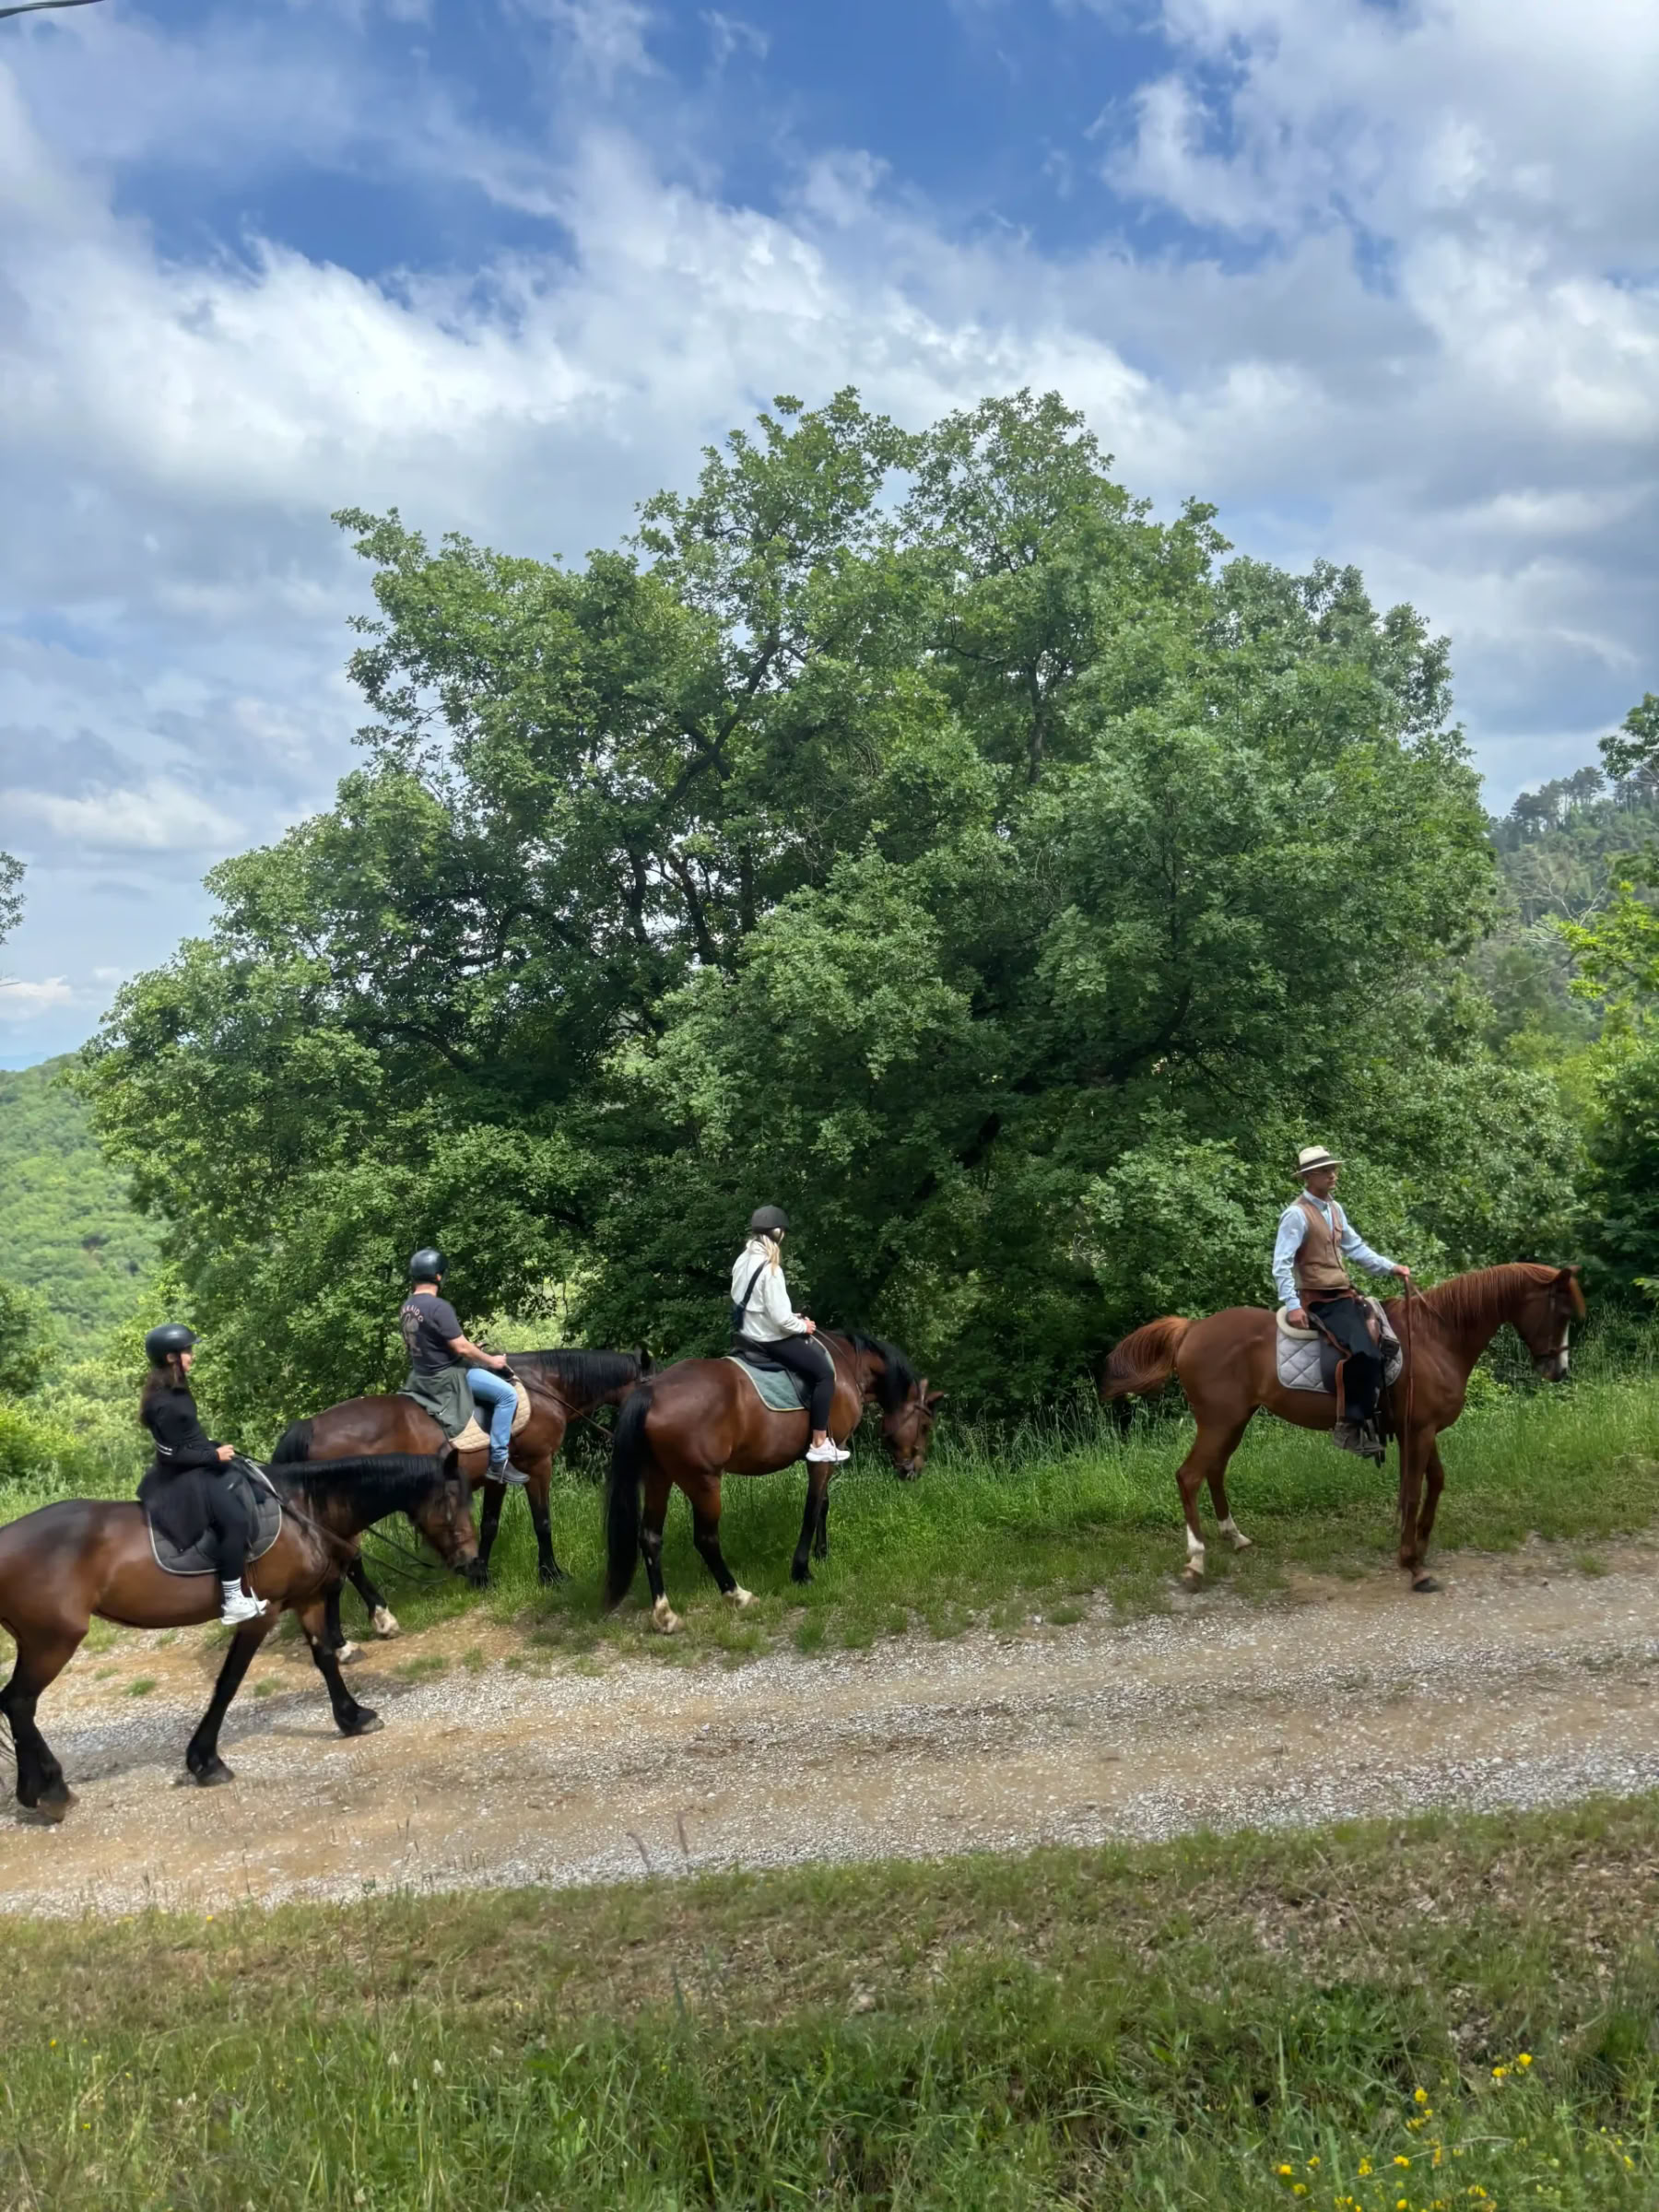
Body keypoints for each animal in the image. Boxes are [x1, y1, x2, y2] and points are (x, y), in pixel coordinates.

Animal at [0, 1451, 480, 1820]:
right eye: (450, 1500)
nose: (470, 1561)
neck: (302, 1508)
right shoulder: (261, 1617)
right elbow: (229, 1683)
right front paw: (205, 1761)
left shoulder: (306, 1601)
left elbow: (325, 1657)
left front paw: (353, 1717)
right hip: (52, 1642)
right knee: (20, 1702)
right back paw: (52, 1790)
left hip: (38, 1642)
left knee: (15, 1703)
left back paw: (34, 1789)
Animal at [271, 1350, 649, 1645]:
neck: (545, 1386)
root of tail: (309, 1426)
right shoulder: (539, 1464)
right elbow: (542, 1521)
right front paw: (551, 1575)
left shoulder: (500, 1475)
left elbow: (489, 1525)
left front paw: (480, 1576)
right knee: (350, 1559)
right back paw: (382, 1619)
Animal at [603, 1333, 943, 1631]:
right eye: (926, 1425)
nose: (914, 1470)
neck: (848, 1366)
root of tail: (652, 1392)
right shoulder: (823, 1457)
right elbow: (812, 1508)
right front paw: (802, 1570)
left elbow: (823, 1504)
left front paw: (822, 1554)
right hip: (703, 1481)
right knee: (706, 1539)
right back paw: (737, 1595)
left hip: (659, 1476)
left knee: (650, 1538)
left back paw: (665, 1614)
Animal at [1098, 1263, 1584, 1592]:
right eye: (1560, 1310)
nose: (1558, 1370)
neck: (1437, 1337)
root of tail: (1192, 1329)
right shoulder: (1419, 1431)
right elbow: (1413, 1491)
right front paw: (1413, 1564)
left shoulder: (1420, 1431)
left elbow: (1436, 1483)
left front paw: (1421, 1545)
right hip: (1219, 1422)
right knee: (1190, 1476)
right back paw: (1196, 1561)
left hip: (1233, 1421)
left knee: (1214, 1472)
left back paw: (1235, 1538)